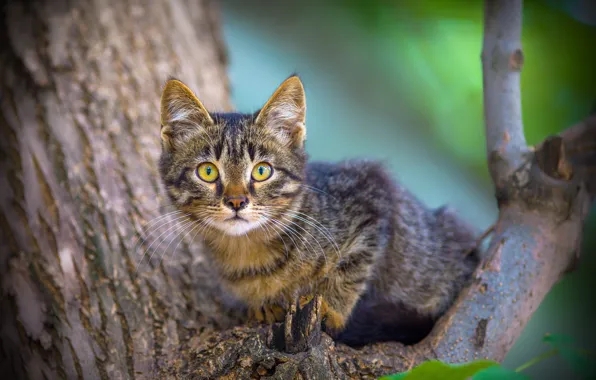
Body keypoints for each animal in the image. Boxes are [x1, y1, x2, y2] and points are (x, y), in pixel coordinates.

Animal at [157, 75, 480, 348]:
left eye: (262, 171)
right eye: (208, 171)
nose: (237, 201)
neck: (248, 250)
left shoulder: (374, 191)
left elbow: (351, 269)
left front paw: (331, 308)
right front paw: (264, 305)